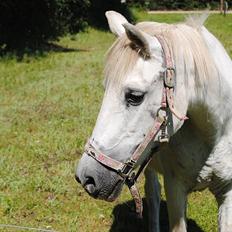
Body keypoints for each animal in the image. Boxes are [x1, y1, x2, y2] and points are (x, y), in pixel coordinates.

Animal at [75, 11, 232, 232]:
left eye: (134, 96)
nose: (86, 177)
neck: (213, 134)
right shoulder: (175, 190)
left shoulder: (227, 192)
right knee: (153, 195)